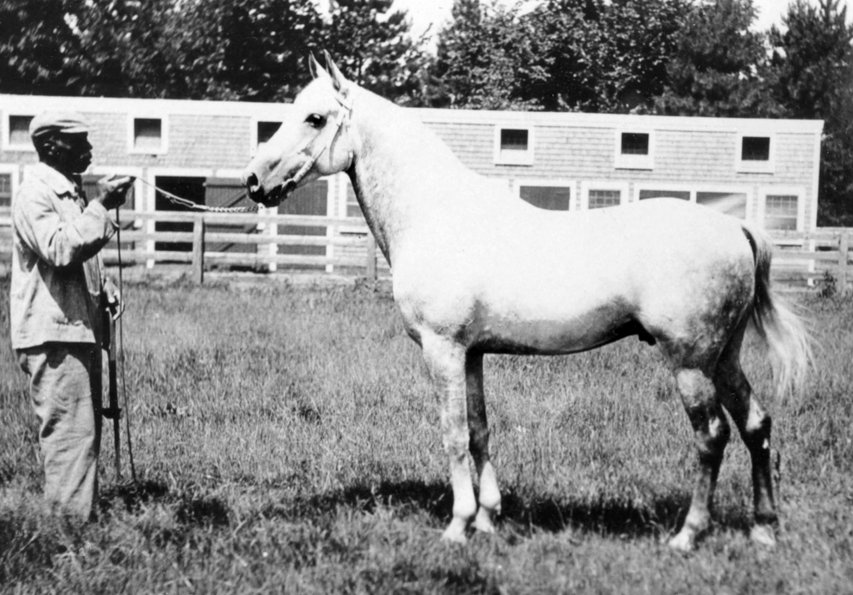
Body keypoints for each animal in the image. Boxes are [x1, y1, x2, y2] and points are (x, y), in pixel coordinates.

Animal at [242, 53, 811, 551]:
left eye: (315, 117)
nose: (254, 180)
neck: (435, 214)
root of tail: (736, 228)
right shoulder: (472, 354)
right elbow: (478, 430)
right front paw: (488, 518)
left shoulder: (442, 350)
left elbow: (453, 434)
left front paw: (458, 525)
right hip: (724, 357)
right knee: (756, 424)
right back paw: (763, 529)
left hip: (691, 362)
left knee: (712, 436)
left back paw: (688, 535)